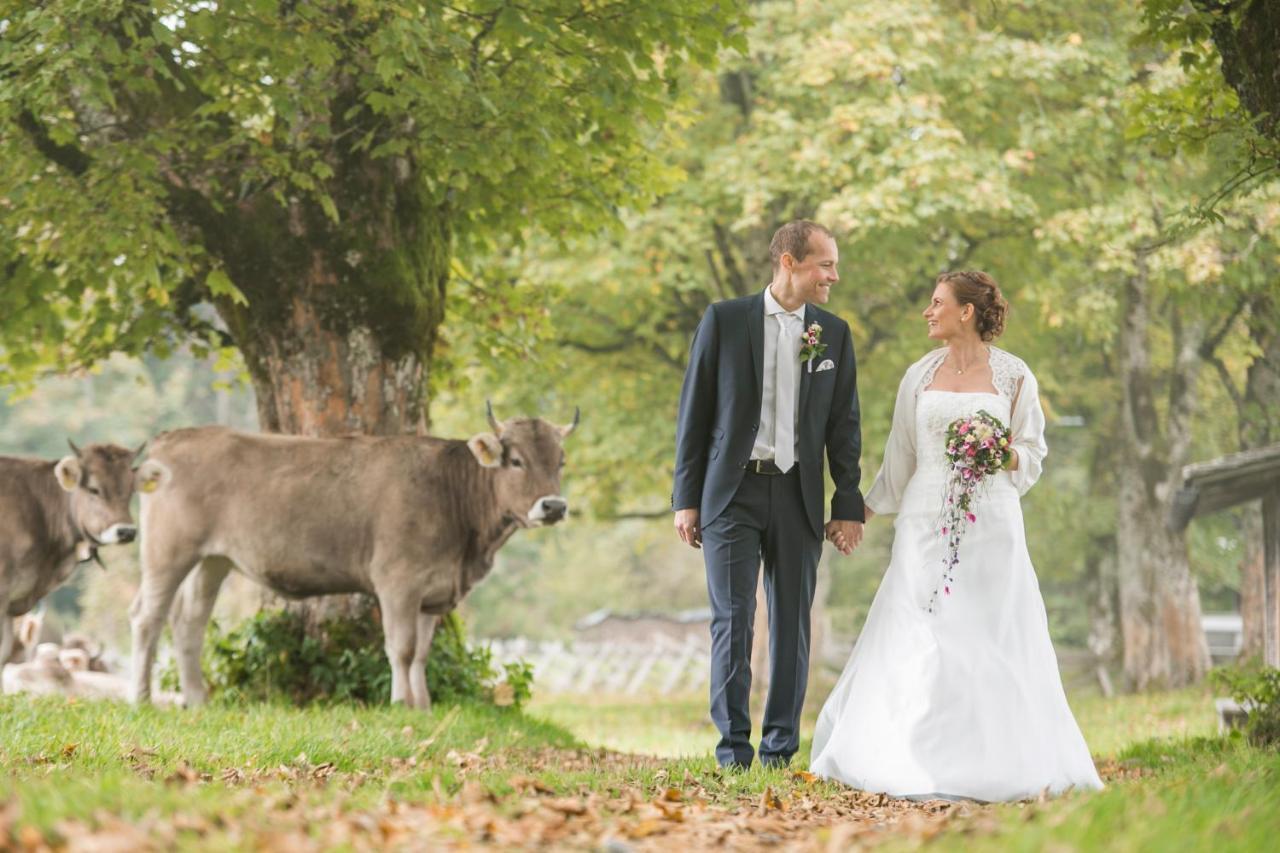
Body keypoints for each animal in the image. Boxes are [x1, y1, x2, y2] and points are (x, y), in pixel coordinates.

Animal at [129, 402, 581, 706]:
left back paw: (197, 701)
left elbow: (421, 653)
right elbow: (400, 648)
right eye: (516, 460)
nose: (554, 506)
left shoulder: (432, 590)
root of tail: (173, 437)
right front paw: (401, 705)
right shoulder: (398, 581)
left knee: (189, 622)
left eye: (560, 460)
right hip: (168, 552)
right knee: (148, 618)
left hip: (213, 560)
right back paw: (142, 699)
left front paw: (424, 706)